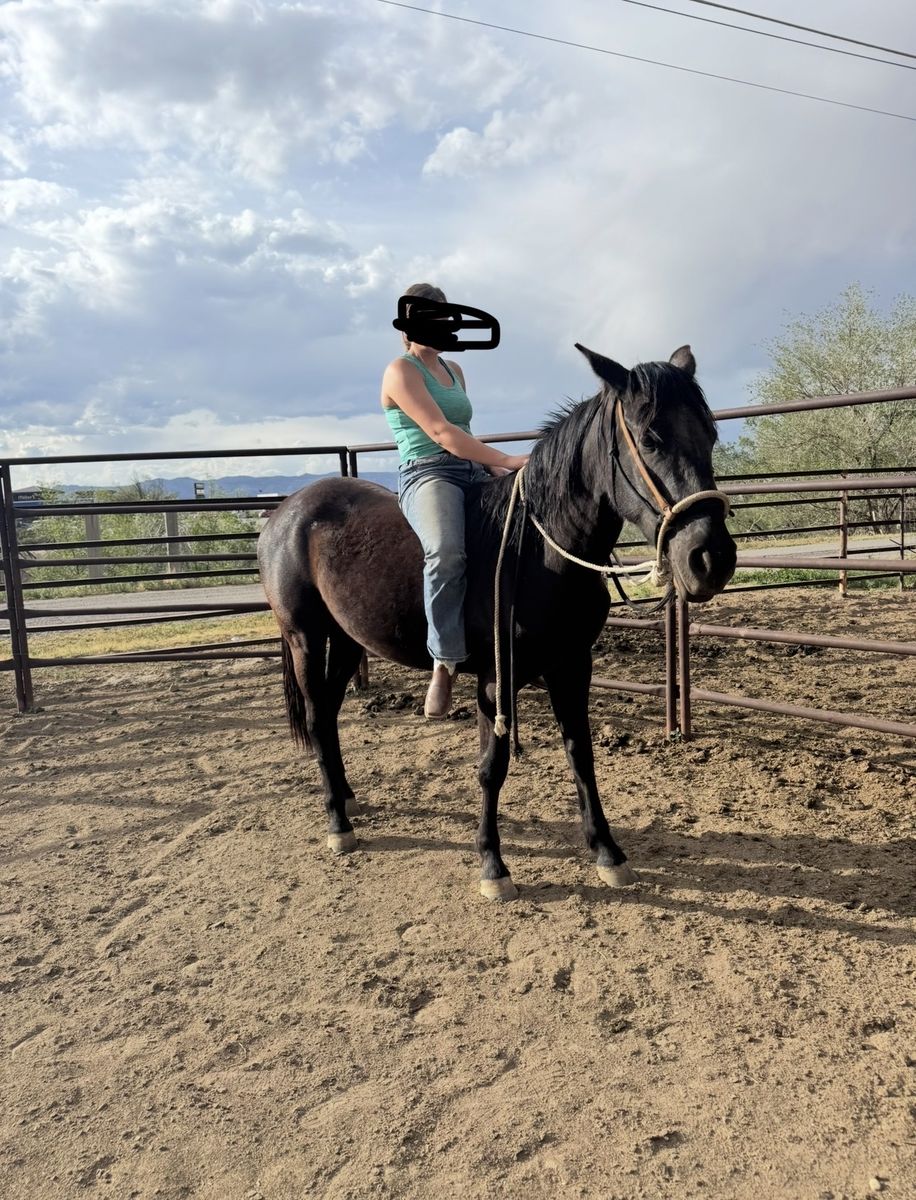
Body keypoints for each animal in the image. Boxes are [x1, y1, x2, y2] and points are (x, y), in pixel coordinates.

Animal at [257, 344, 736, 900]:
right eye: (651, 438)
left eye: (710, 434)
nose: (711, 559)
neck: (540, 552)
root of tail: (285, 512)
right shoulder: (493, 680)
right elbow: (493, 767)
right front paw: (492, 864)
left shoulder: (573, 666)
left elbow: (581, 753)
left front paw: (607, 853)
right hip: (306, 637)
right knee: (317, 717)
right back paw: (339, 822)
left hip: (349, 639)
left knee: (330, 716)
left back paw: (349, 797)